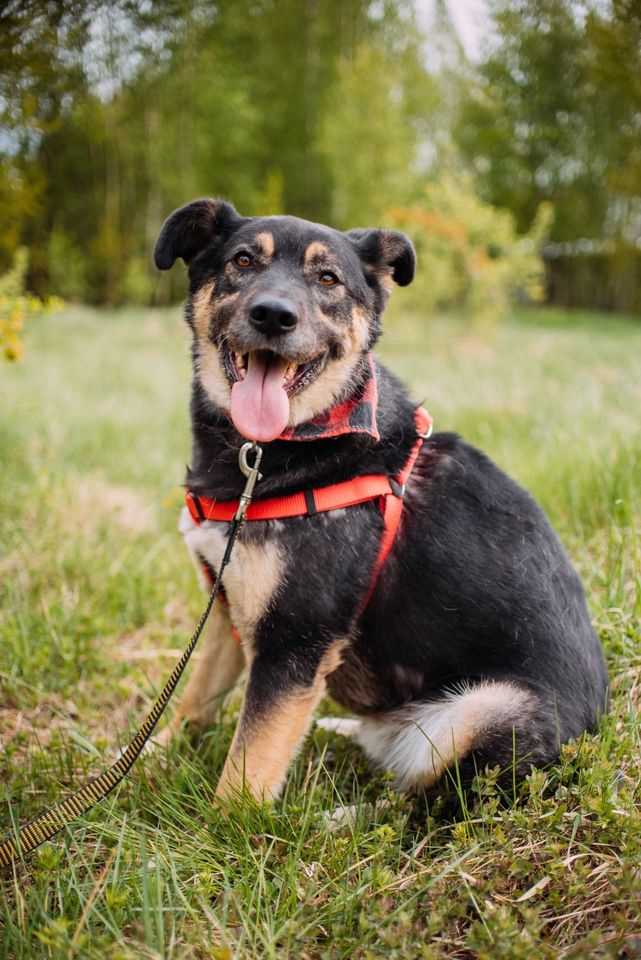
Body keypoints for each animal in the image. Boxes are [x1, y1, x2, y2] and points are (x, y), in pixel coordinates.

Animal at [152, 197, 608, 804]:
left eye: (328, 279)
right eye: (243, 261)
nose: (273, 316)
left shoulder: (293, 641)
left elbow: (246, 770)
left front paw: (227, 826)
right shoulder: (229, 606)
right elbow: (193, 700)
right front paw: (151, 757)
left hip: (481, 714)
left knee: (429, 800)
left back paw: (346, 814)